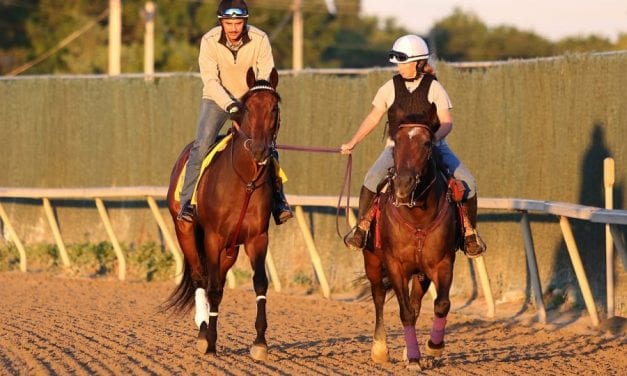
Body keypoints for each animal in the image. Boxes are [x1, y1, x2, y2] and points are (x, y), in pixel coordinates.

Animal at [164, 67, 280, 362]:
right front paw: (210, 341)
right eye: (247, 108)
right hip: (186, 232)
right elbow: (213, 288)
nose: (260, 149)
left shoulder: (258, 238)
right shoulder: (213, 238)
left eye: (274, 107)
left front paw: (260, 342)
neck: (245, 180)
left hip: (230, 250)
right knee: (200, 278)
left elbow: (260, 283)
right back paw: (202, 329)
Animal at [360, 123, 458, 370]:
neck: (417, 218)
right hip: (372, 263)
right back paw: (380, 350)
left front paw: (433, 347)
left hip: (421, 273)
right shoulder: (395, 265)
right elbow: (404, 311)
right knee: (379, 297)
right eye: (396, 142)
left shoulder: (442, 263)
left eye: (426, 143)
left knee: (416, 303)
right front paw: (414, 358)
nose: (404, 184)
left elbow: (441, 304)